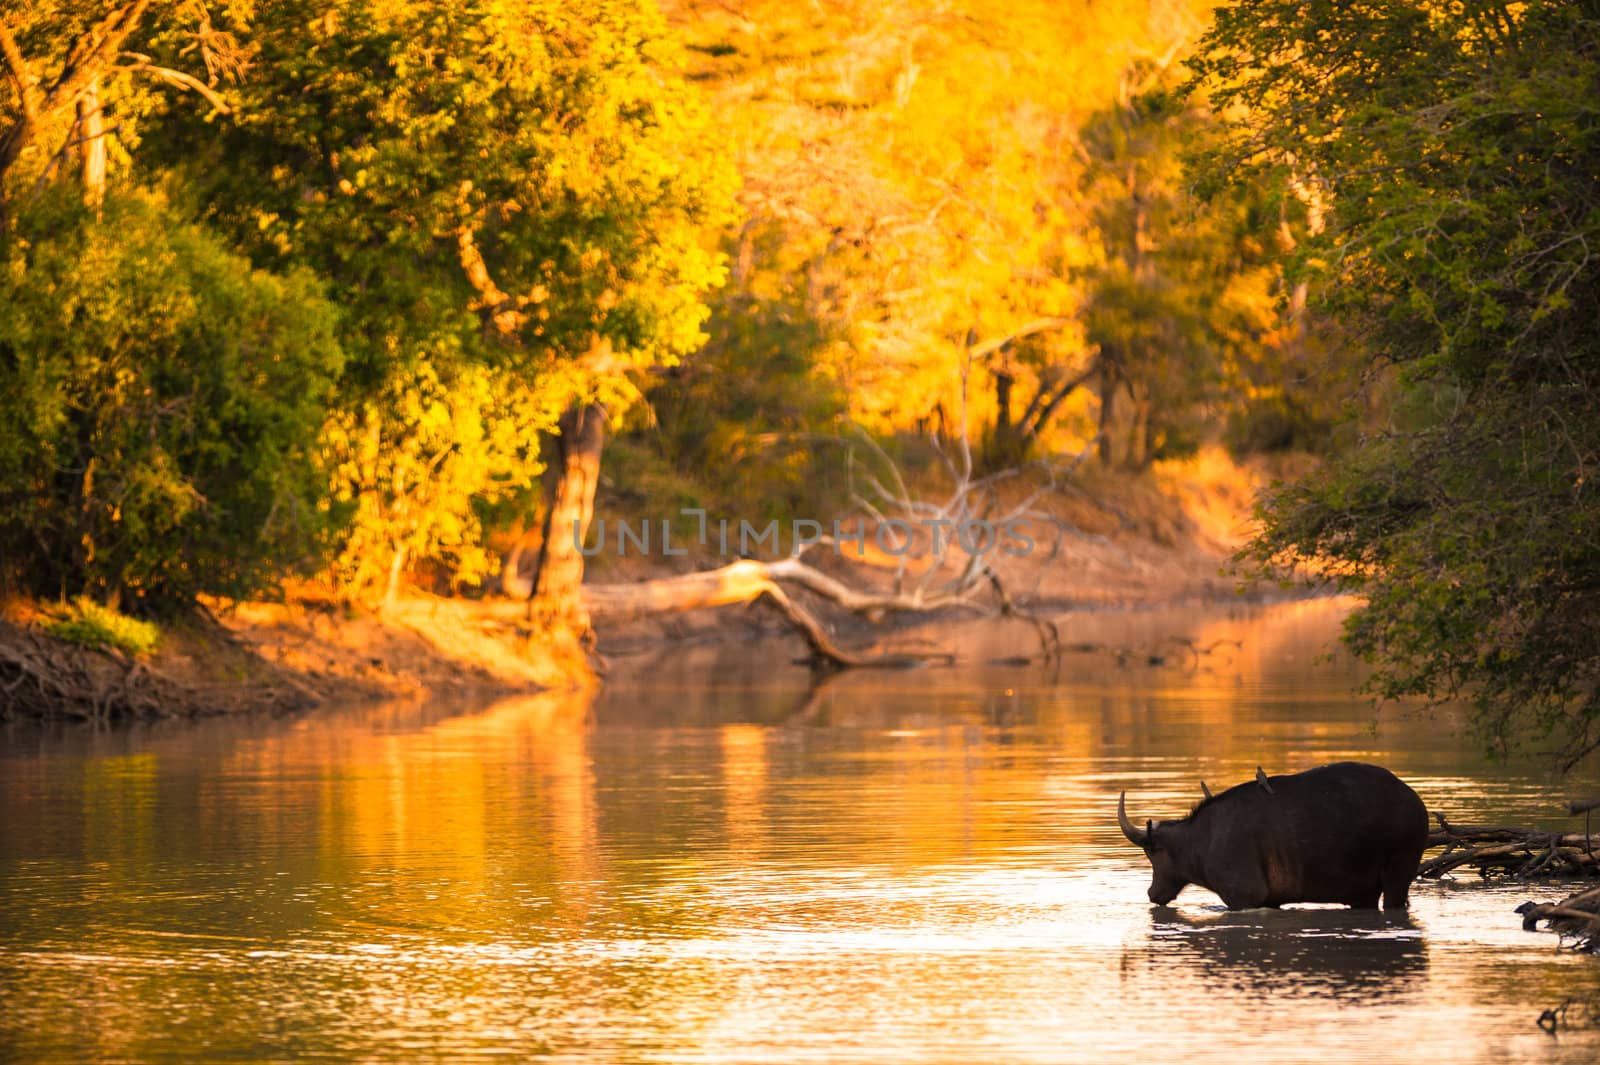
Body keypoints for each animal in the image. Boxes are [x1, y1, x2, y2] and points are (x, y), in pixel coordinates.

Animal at [1120, 757, 1433, 908]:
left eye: (1151, 853)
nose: (1152, 892)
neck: (1200, 843)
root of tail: (1416, 803)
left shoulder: (1244, 896)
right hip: (1365, 892)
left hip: (1399, 874)